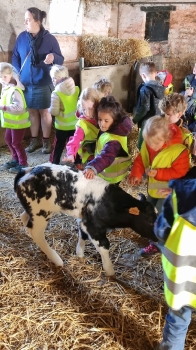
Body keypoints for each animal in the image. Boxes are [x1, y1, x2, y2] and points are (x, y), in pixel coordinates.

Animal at [14, 163, 157, 276]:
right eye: (149, 220)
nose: (157, 238)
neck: (111, 202)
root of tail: (28, 170)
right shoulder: (93, 225)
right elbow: (104, 246)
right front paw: (110, 271)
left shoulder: (84, 219)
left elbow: (82, 234)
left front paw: (80, 253)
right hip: (41, 212)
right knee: (37, 233)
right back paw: (56, 259)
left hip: (32, 210)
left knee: (25, 218)